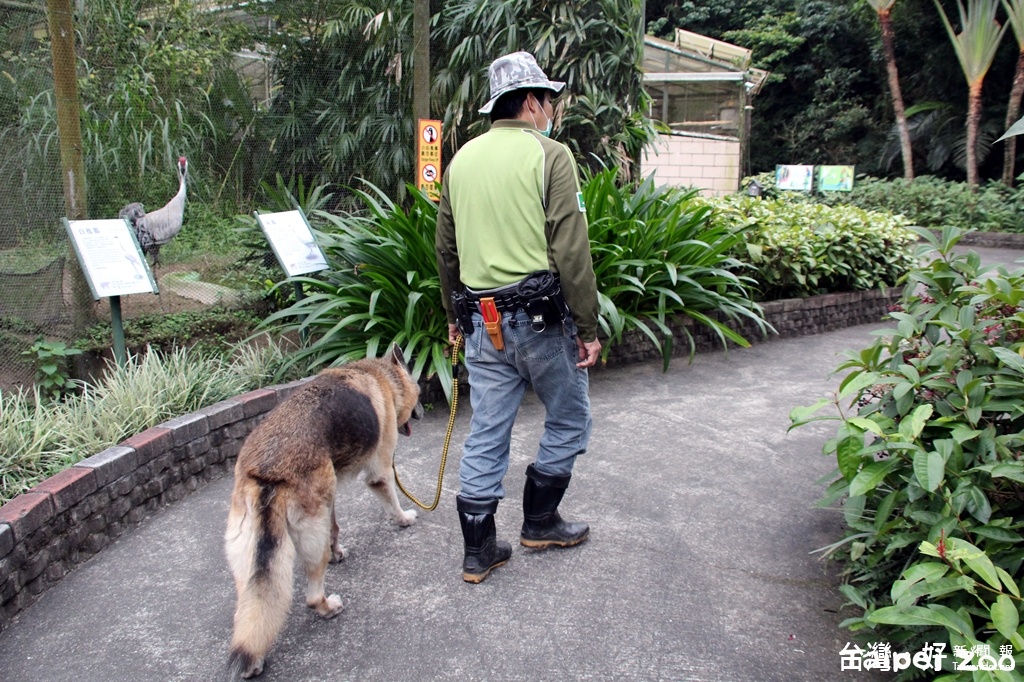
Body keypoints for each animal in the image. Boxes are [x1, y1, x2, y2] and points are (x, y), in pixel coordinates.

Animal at [223, 346, 419, 675]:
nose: (421, 413)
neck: (380, 376)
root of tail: (266, 470)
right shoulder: (379, 472)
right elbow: (392, 499)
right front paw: (403, 519)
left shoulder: (331, 497)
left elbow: (336, 526)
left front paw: (338, 550)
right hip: (311, 541)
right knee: (312, 596)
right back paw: (328, 607)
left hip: (249, 559)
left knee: (252, 609)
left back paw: (255, 656)